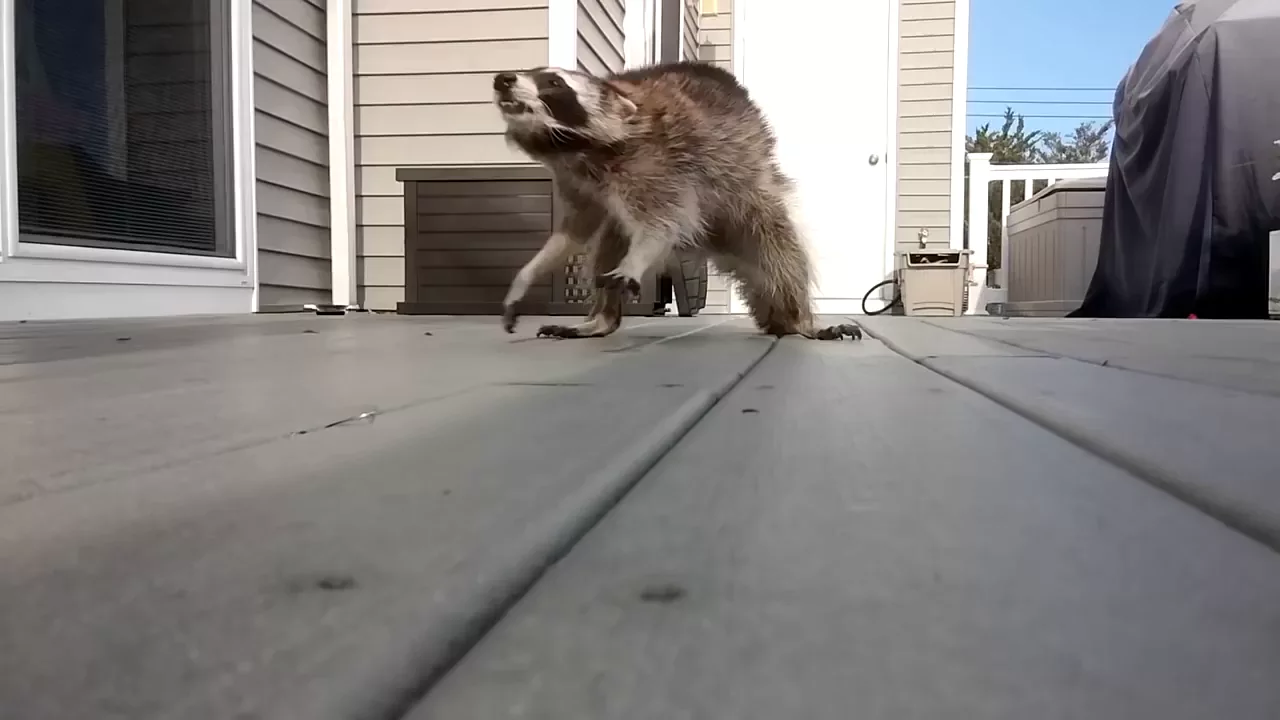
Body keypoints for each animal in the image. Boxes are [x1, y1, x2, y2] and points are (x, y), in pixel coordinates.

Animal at [492, 61, 861, 341]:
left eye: (554, 82)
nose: (503, 79)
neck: (573, 148)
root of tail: (712, 244)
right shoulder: (574, 179)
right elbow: (576, 231)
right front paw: (530, 272)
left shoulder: (660, 165)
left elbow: (663, 224)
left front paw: (636, 260)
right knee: (609, 244)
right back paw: (603, 318)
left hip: (748, 204)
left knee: (781, 257)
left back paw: (799, 319)